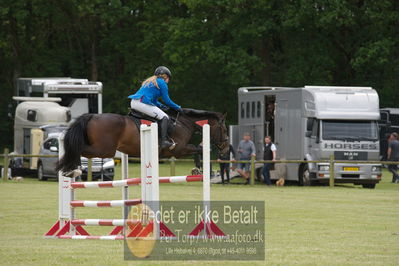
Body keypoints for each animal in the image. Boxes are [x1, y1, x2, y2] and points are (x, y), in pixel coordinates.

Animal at [57, 108, 230, 172]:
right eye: (223, 129)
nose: (226, 148)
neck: (184, 124)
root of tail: (92, 116)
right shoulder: (179, 149)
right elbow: (199, 148)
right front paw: (200, 168)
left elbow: (199, 148)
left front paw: (199, 168)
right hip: (105, 149)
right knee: (80, 149)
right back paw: (73, 169)